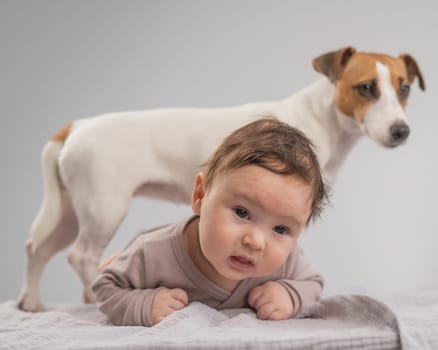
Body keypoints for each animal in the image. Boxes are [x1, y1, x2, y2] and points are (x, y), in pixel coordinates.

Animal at [17, 47, 424, 312]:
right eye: (366, 87)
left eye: (404, 88)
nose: (401, 131)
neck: (319, 116)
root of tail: (76, 126)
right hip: (104, 208)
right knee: (82, 256)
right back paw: (90, 299)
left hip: (69, 213)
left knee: (37, 249)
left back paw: (31, 303)